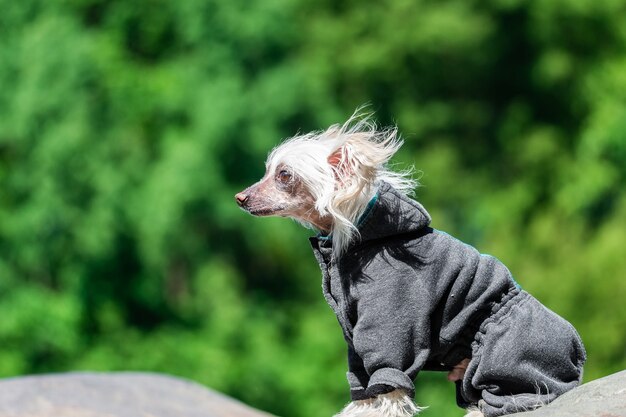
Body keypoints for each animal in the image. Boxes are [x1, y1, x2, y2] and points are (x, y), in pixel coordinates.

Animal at [235, 111, 584, 416]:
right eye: (268, 171)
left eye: (284, 175)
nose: (240, 197)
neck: (355, 239)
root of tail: (577, 353)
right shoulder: (355, 344)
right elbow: (363, 387)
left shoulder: (391, 330)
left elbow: (389, 383)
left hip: (499, 352)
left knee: (517, 399)